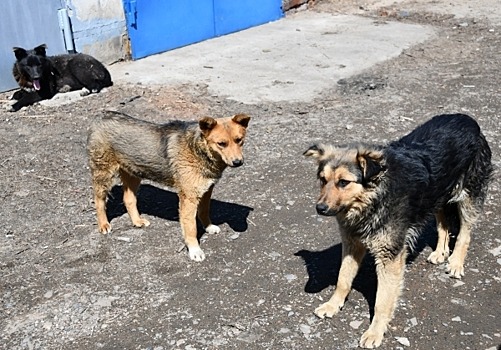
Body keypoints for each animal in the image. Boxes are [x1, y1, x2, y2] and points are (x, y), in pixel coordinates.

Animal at [88, 110, 250, 262]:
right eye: (221, 144)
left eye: (239, 140)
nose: (238, 162)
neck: (198, 148)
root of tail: (100, 115)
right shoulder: (189, 198)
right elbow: (191, 227)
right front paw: (194, 250)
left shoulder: (206, 190)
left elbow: (204, 211)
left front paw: (208, 227)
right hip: (104, 174)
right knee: (99, 201)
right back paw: (103, 224)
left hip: (133, 174)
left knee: (128, 199)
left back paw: (137, 221)